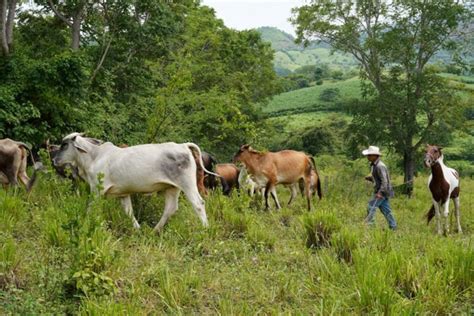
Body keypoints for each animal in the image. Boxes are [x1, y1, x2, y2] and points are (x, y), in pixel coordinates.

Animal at [52, 132, 215, 233]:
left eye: (64, 144)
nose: (54, 160)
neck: (94, 156)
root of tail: (183, 145)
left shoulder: (96, 190)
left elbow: (90, 209)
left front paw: (84, 224)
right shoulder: (123, 194)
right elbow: (129, 212)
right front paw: (138, 229)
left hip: (187, 184)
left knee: (198, 204)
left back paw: (206, 229)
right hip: (172, 188)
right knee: (170, 208)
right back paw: (154, 231)